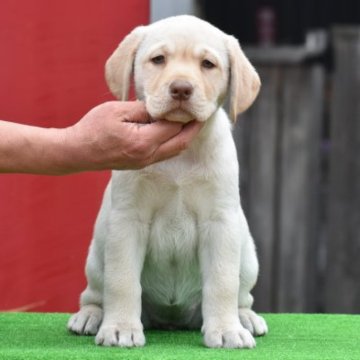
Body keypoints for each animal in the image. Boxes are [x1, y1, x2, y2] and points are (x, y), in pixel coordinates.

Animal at [69, 14, 268, 348]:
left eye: (208, 64)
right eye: (159, 59)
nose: (181, 89)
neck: (179, 157)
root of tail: (172, 319)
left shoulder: (220, 222)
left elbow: (222, 282)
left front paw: (226, 330)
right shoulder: (127, 220)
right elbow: (122, 280)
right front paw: (120, 328)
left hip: (248, 256)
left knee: (241, 295)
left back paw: (245, 318)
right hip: (96, 255)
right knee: (95, 293)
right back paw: (91, 315)